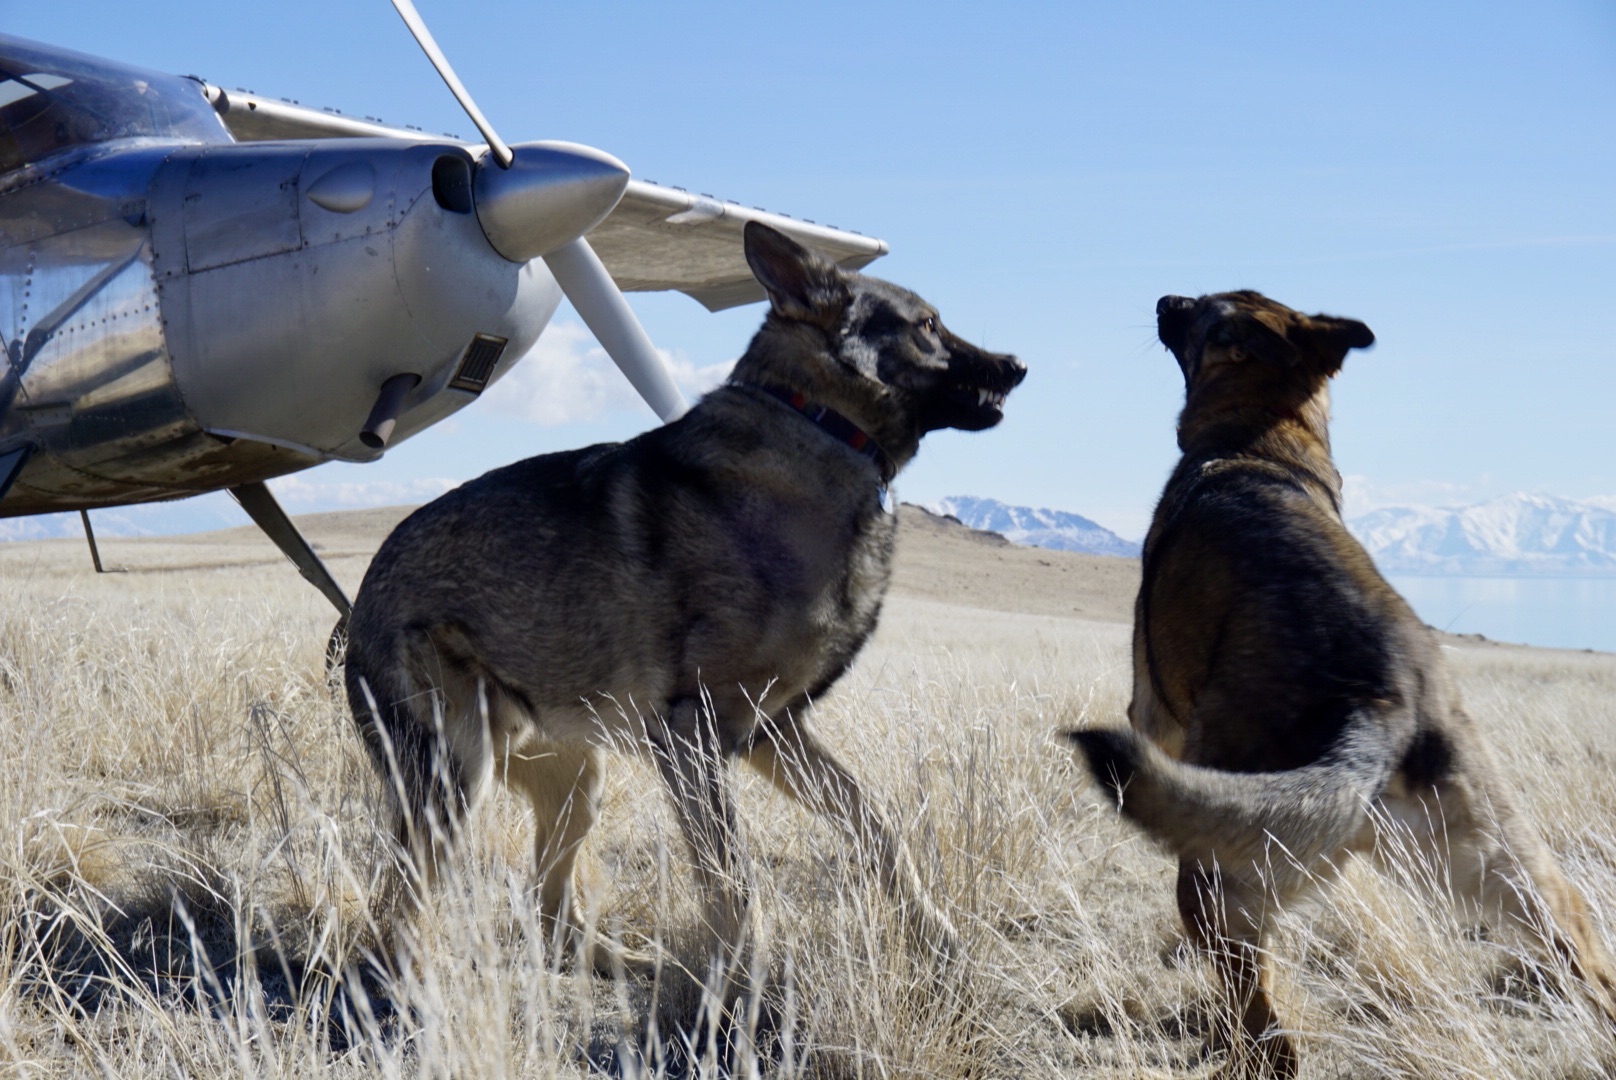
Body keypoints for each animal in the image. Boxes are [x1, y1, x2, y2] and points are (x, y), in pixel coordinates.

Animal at [343, 222, 1025, 1001]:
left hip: (576, 782)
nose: (1019, 366)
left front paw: (939, 943)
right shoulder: (693, 734)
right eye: (928, 325)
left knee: (548, 910)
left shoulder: (773, 732)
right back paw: (419, 987)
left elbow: (879, 829)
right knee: (401, 902)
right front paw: (746, 990)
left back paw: (626, 965)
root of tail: (360, 603)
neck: (819, 425)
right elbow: (734, 879)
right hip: (455, 777)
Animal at [1069, 291, 1616, 1077]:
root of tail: (1381, 708)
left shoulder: (1151, 707)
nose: (1164, 299)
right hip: (1499, 865)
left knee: (1269, 1034)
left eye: (1202, 308)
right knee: (1578, 933)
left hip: (1217, 883)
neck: (1262, 440)